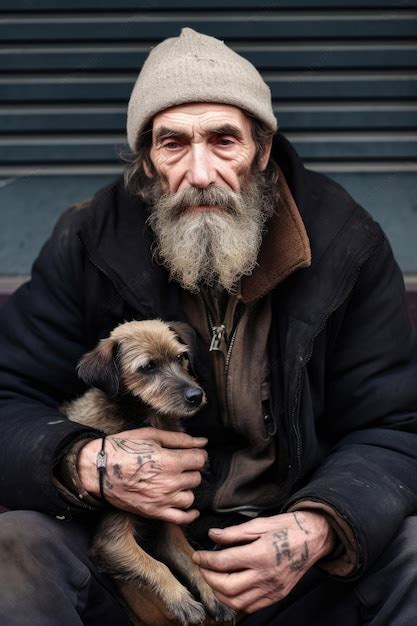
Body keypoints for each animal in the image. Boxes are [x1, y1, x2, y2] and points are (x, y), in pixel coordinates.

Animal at [63, 320, 236, 624]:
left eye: (181, 358)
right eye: (147, 367)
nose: (196, 396)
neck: (146, 418)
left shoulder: (167, 526)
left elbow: (191, 558)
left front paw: (213, 595)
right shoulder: (113, 542)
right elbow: (155, 565)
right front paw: (182, 600)